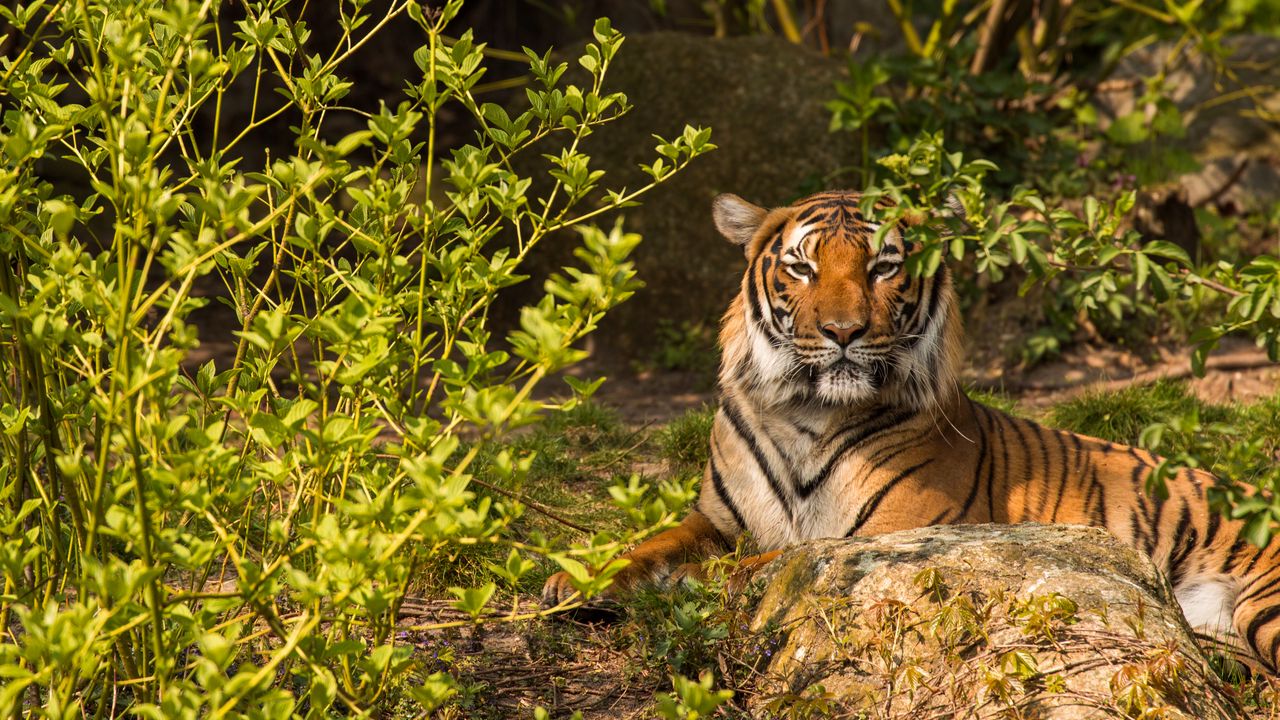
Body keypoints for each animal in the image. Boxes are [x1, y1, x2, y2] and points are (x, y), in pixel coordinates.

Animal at [540, 188, 1280, 671]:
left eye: (884, 266)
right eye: (801, 266)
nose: (842, 332)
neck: (805, 411)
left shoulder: (892, 534)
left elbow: (758, 565)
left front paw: (686, 588)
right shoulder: (716, 518)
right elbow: (651, 545)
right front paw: (575, 579)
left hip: (1264, 607)